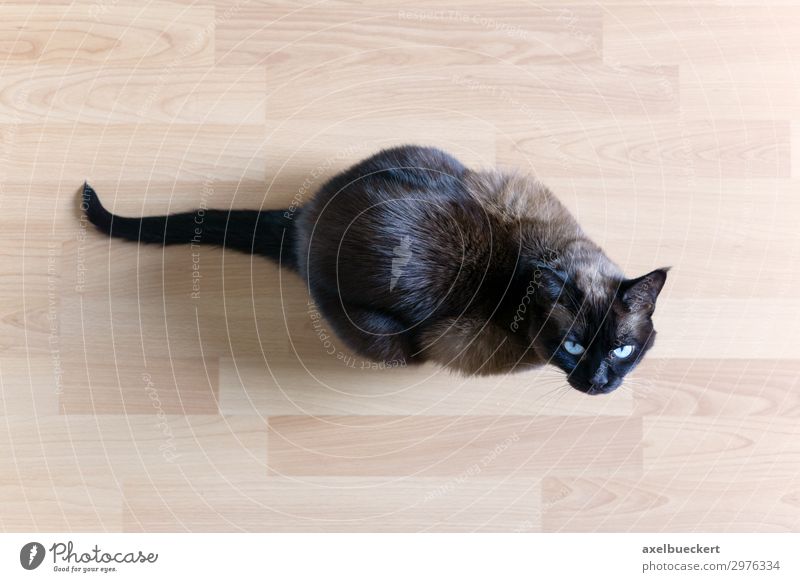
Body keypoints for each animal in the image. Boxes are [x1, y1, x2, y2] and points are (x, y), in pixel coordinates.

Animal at [83, 145, 668, 396]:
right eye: (572, 346)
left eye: (621, 349)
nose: (599, 382)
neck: (529, 267)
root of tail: (306, 224)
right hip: (391, 341)